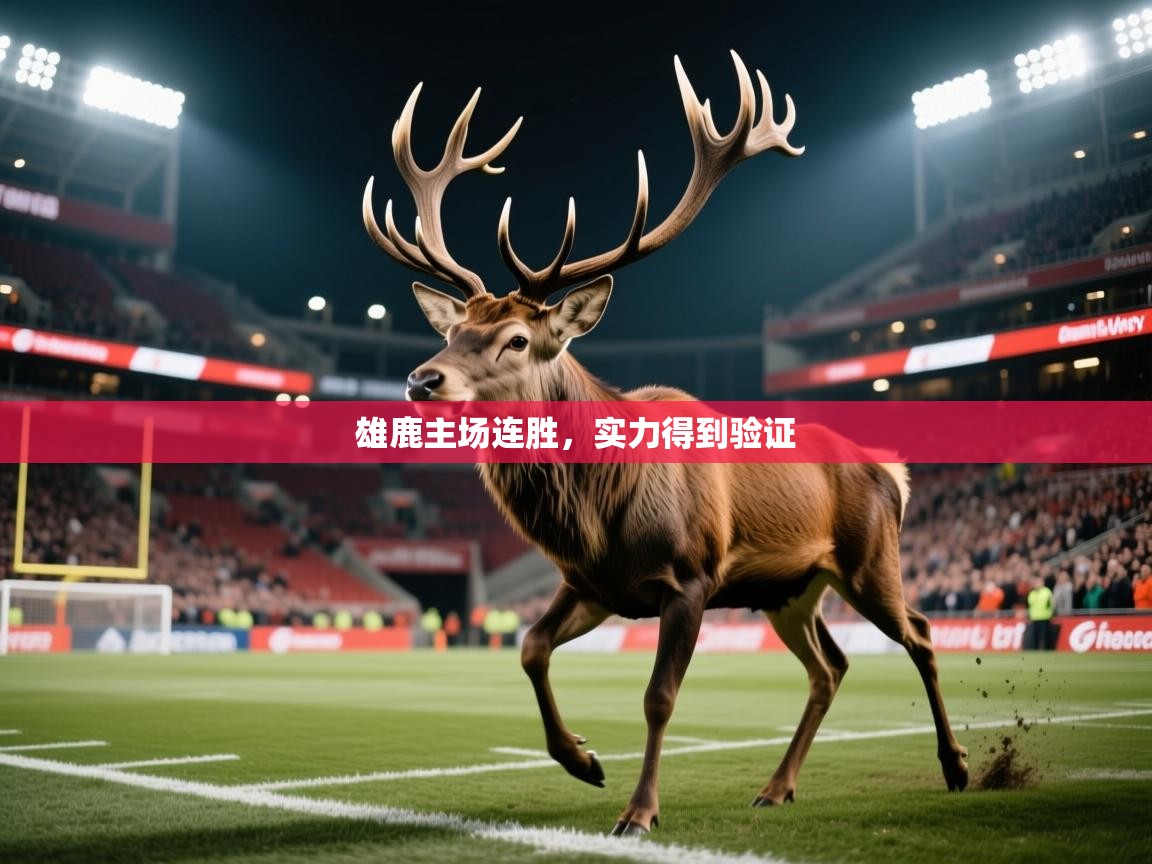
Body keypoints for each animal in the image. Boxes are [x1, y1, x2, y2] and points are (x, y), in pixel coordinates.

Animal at [362, 50, 969, 837]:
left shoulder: (692, 576)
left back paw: (957, 766)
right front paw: (582, 759)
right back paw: (777, 786)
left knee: (920, 634)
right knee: (830, 666)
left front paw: (639, 810)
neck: (600, 512)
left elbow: (657, 697)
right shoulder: (590, 584)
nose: (421, 379)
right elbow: (528, 647)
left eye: (518, 339)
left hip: (870, 559)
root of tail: (893, 471)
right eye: (453, 329)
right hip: (790, 590)